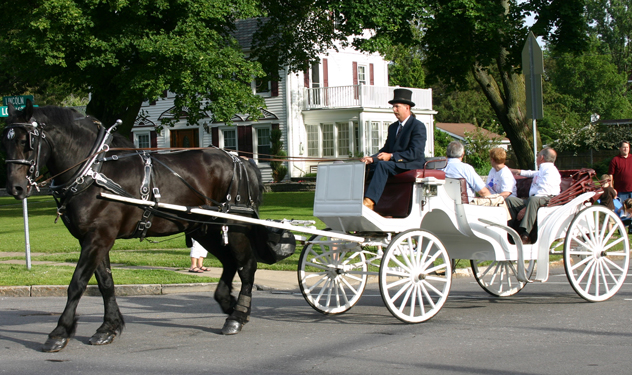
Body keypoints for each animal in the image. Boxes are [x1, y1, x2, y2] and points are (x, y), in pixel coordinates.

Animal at [0, 102, 266, 352]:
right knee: (231, 262)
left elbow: (77, 283)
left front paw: (59, 332)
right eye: (5, 140)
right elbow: (105, 283)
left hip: (235, 226)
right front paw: (108, 327)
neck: (94, 172)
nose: (15, 187)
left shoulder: (99, 237)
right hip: (204, 229)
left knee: (247, 265)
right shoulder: (94, 238)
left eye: (27, 141)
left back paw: (237, 315)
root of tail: (239, 160)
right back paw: (228, 303)